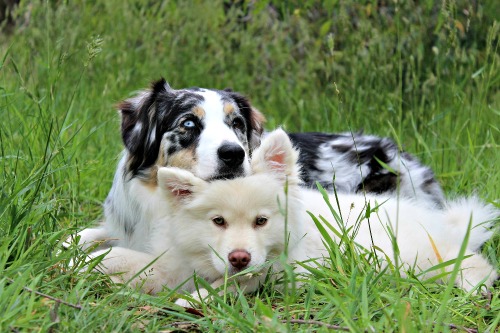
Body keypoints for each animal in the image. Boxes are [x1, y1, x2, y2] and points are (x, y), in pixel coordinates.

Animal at [85, 129, 496, 304]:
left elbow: (240, 283)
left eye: (261, 221)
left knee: (473, 262)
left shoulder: (284, 270)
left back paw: (473, 286)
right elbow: (123, 258)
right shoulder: (175, 260)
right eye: (218, 222)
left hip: (409, 256)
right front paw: (83, 261)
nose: (239, 257)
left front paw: (197, 299)